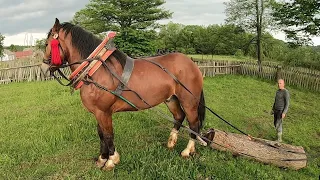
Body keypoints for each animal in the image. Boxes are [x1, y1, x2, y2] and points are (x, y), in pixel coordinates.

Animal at [43, 18, 205, 170]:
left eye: (46, 44)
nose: (44, 67)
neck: (96, 69)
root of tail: (191, 63)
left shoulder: (103, 112)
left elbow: (108, 135)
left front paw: (111, 161)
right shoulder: (98, 111)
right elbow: (101, 134)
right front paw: (102, 158)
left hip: (189, 101)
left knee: (193, 123)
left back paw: (187, 151)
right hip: (171, 99)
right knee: (179, 117)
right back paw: (171, 143)